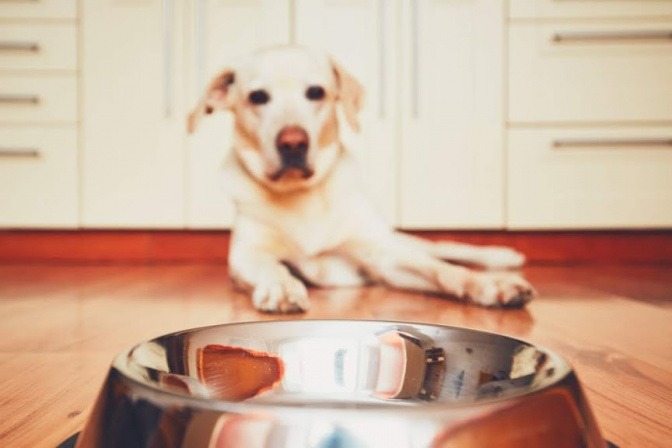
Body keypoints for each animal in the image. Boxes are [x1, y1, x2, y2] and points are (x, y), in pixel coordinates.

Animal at [189, 44, 536, 312]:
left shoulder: (382, 256)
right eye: (258, 97)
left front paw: (490, 285)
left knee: (444, 248)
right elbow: (269, 266)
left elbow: (441, 270)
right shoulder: (246, 255)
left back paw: (501, 256)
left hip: (394, 238)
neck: (304, 197)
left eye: (316, 92)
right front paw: (281, 287)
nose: (293, 142)